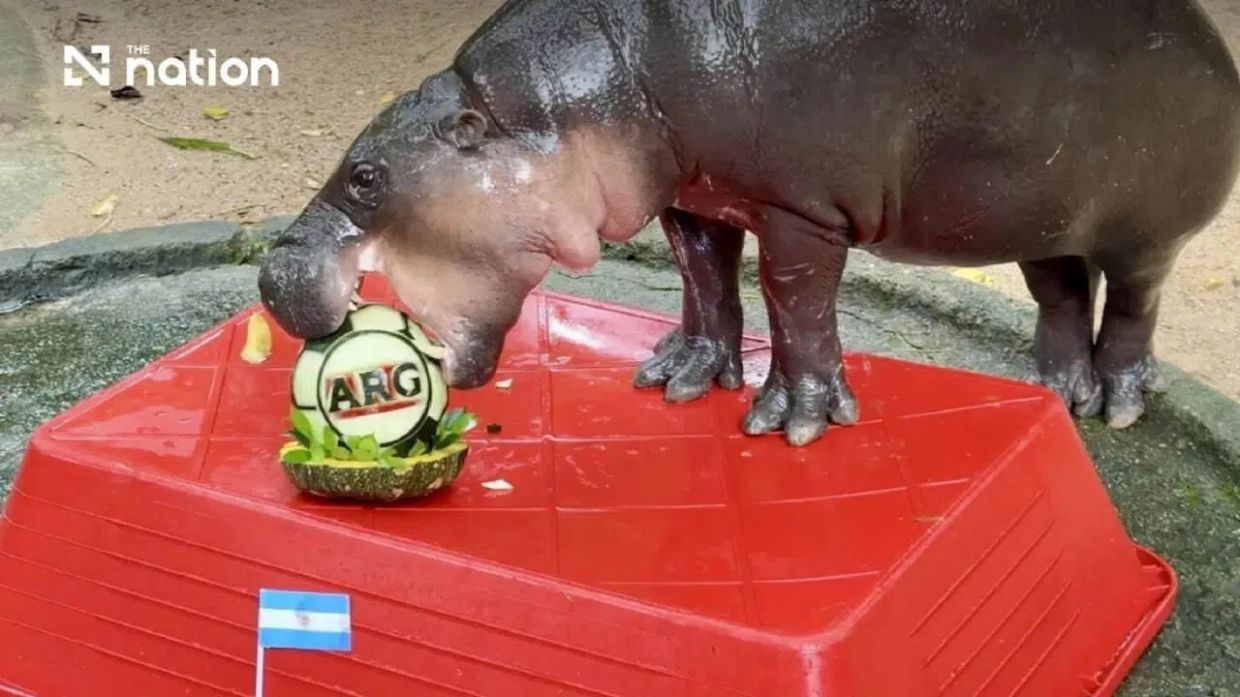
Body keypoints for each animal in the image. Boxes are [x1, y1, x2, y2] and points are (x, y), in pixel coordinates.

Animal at [258, 0, 1240, 447]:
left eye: (367, 174)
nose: (271, 275)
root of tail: (1210, 39)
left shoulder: (799, 210)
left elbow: (791, 299)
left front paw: (793, 423)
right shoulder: (695, 192)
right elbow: (705, 279)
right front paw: (680, 376)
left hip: (1145, 232)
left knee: (1135, 306)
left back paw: (1119, 405)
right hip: (1038, 218)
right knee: (1064, 291)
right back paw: (1060, 394)